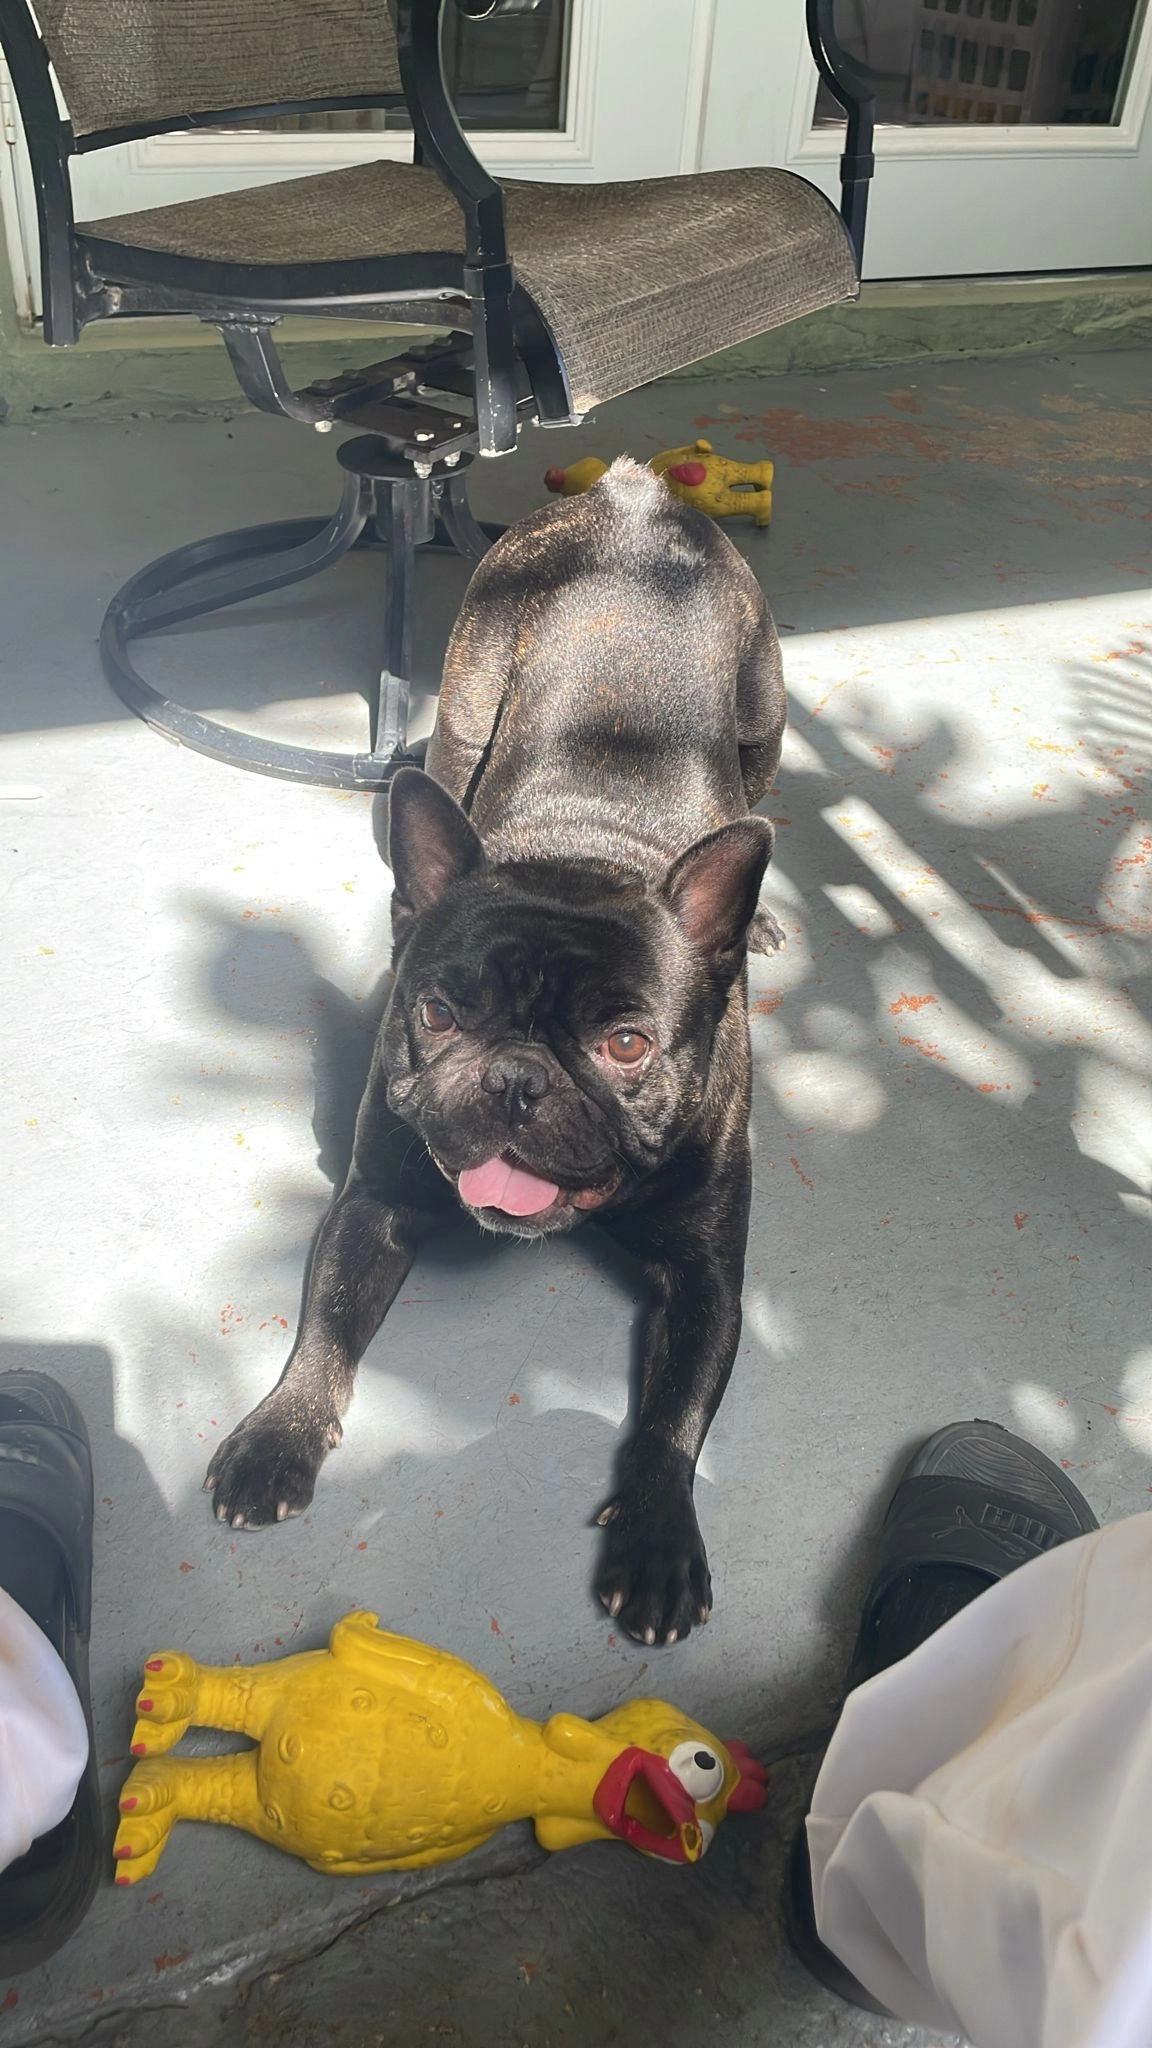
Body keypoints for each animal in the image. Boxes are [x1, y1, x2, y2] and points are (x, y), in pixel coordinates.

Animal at [205, 459, 787, 1647]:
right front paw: (279, 1434)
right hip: (465, 713)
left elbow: (675, 1416)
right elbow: (324, 1330)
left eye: (627, 1043)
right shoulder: (375, 1201)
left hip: (765, 722)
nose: (517, 1076)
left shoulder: (710, 1279)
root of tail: (633, 496)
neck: (586, 853)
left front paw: (658, 1539)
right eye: (435, 1014)